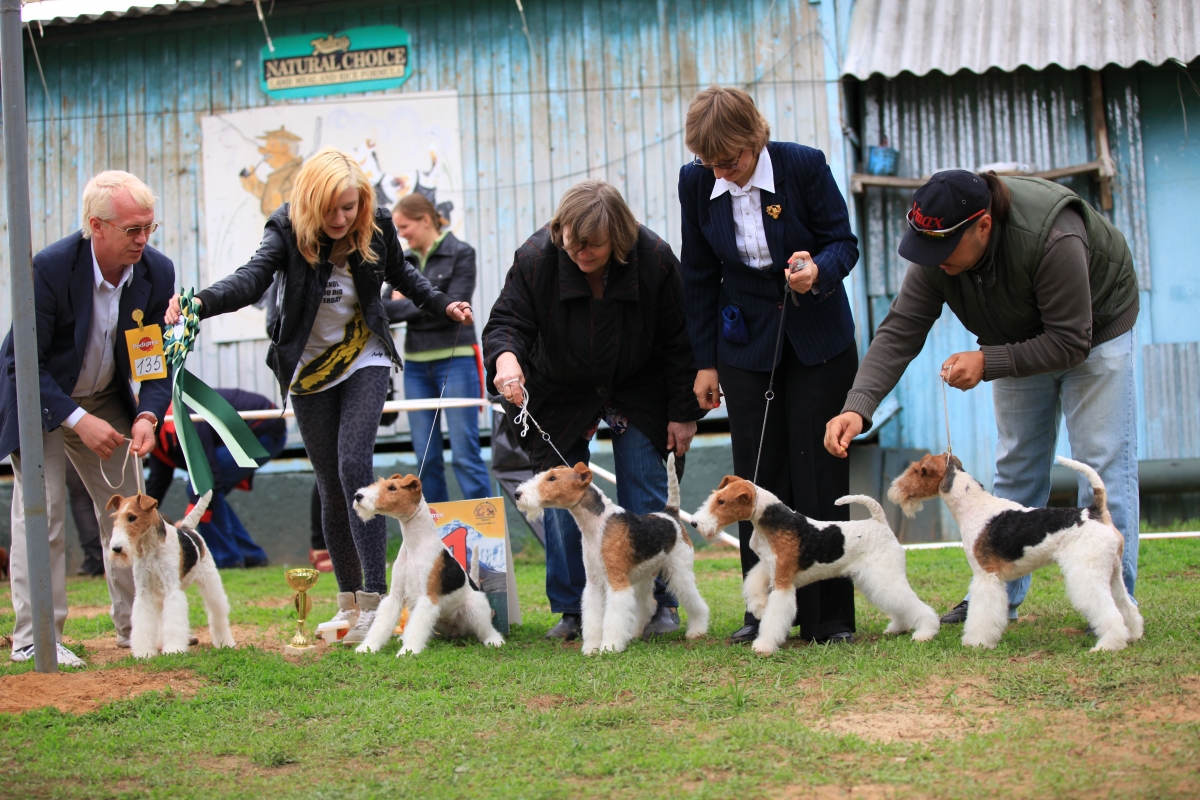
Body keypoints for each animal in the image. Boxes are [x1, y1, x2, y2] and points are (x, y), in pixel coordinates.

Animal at [106, 491, 235, 662]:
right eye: (115, 517)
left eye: (132, 517)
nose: (116, 548)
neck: (150, 547)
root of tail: (187, 528)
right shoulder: (143, 592)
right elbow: (144, 624)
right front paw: (144, 652)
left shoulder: (172, 590)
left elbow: (174, 622)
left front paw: (173, 650)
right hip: (159, 595)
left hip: (210, 580)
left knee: (217, 611)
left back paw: (225, 642)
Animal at [350, 474, 504, 657]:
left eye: (392, 488)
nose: (358, 496)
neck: (414, 545)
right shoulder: (395, 595)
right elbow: (381, 625)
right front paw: (367, 647)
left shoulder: (427, 597)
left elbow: (416, 628)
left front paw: (408, 651)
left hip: (474, 606)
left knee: (486, 629)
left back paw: (494, 641)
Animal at [511, 453, 705, 652]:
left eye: (552, 478)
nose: (517, 494)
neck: (596, 525)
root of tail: (670, 515)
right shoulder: (593, 583)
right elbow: (593, 618)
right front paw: (591, 648)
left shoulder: (616, 581)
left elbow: (613, 618)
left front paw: (609, 647)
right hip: (643, 576)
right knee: (646, 606)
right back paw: (635, 633)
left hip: (679, 571)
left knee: (697, 603)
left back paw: (696, 630)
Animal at [691, 474, 940, 657]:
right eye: (716, 497)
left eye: (722, 502)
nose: (694, 523)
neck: (774, 522)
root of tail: (880, 522)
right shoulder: (769, 566)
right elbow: (753, 583)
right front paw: (759, 607)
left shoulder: (783, 581)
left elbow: (775, 617)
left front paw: (763, 645)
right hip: (874, 579)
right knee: (899, 604)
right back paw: (898, 627)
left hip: (885, 575)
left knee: (913, 604)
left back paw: (925, 632)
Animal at [892, 453, 1142, 652]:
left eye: (917, 470)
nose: (893, 490)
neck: (972, 506)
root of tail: (1096, 512)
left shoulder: (986, 575)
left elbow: (982, 613)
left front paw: (976, 642)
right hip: (1113, 573)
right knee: (1127, 606)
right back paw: (1133, 634)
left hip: (1087, 572)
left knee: (1110, 612)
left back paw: (1107, 645)